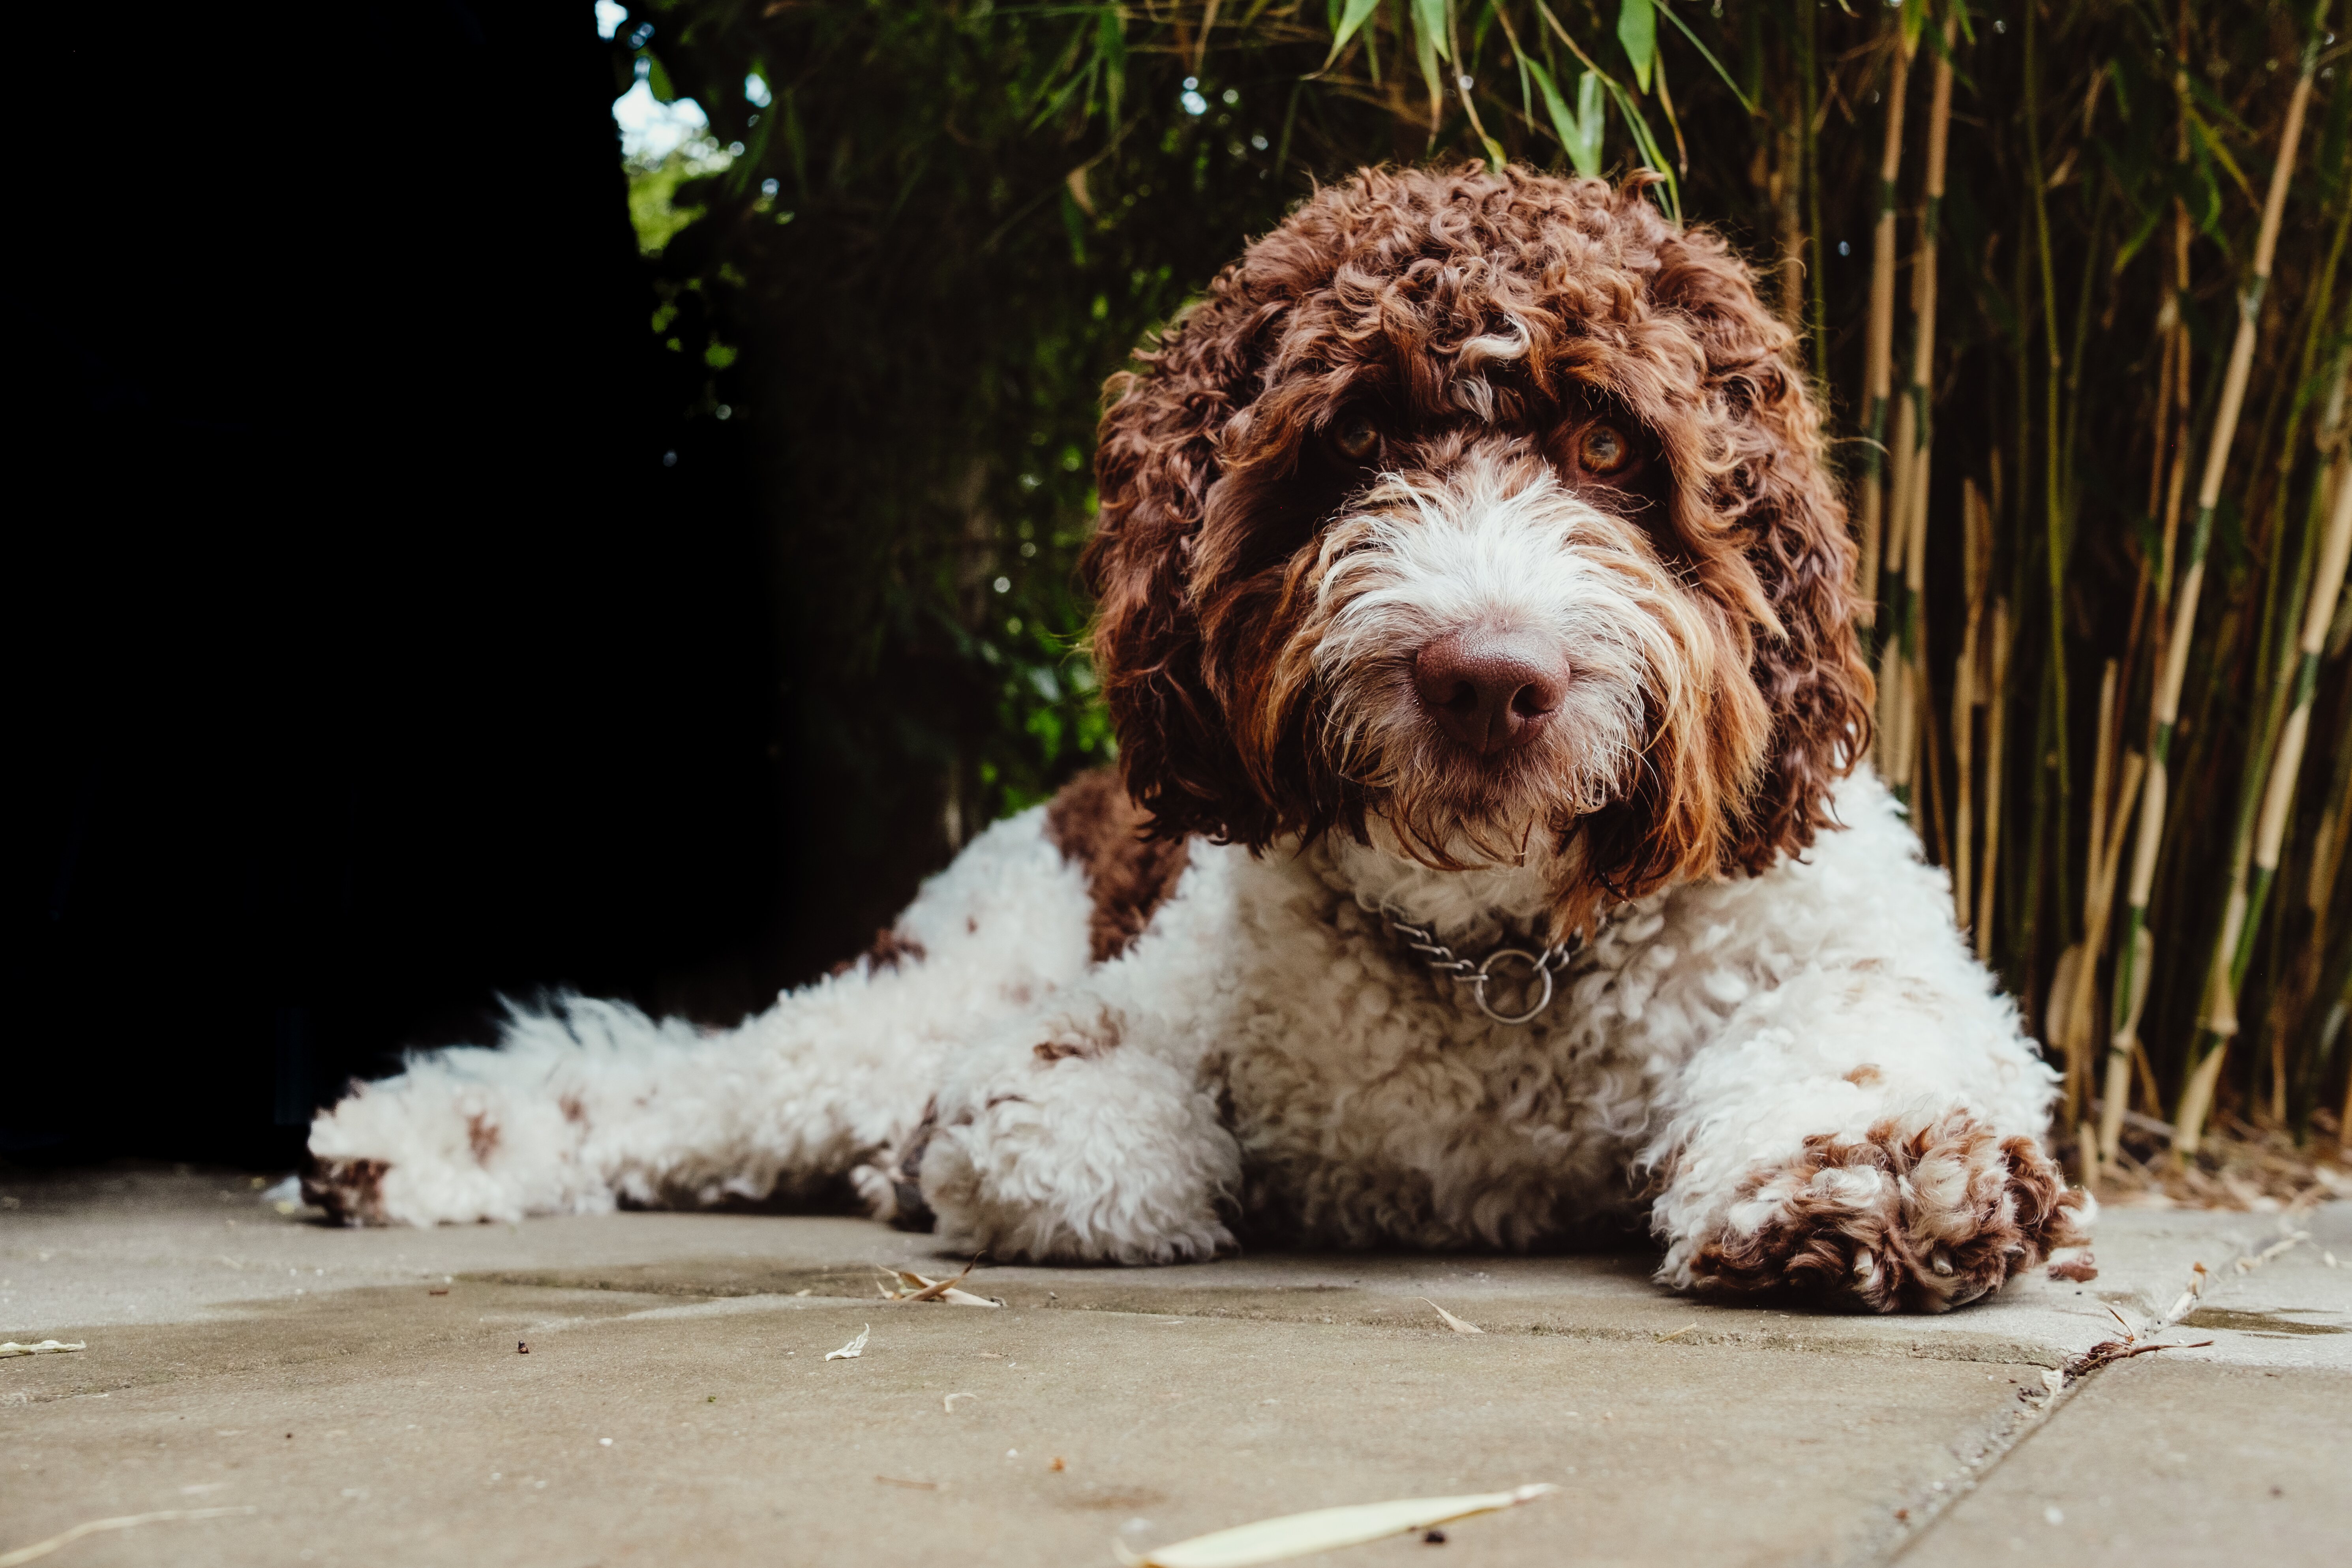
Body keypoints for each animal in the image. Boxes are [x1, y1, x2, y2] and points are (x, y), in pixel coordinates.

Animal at [308, 162, 2079, 1316]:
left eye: (1604, 444)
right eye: (1353, 440)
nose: (1486, 678)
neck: (1500, 961)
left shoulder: (1857, 946)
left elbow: (1867, 1033)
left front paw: (1859, 1176)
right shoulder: (1087, 1028)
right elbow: (1062, 1132)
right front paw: (1043, 1169)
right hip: (939, 975)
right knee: (669, 1080)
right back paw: (399, 1147)